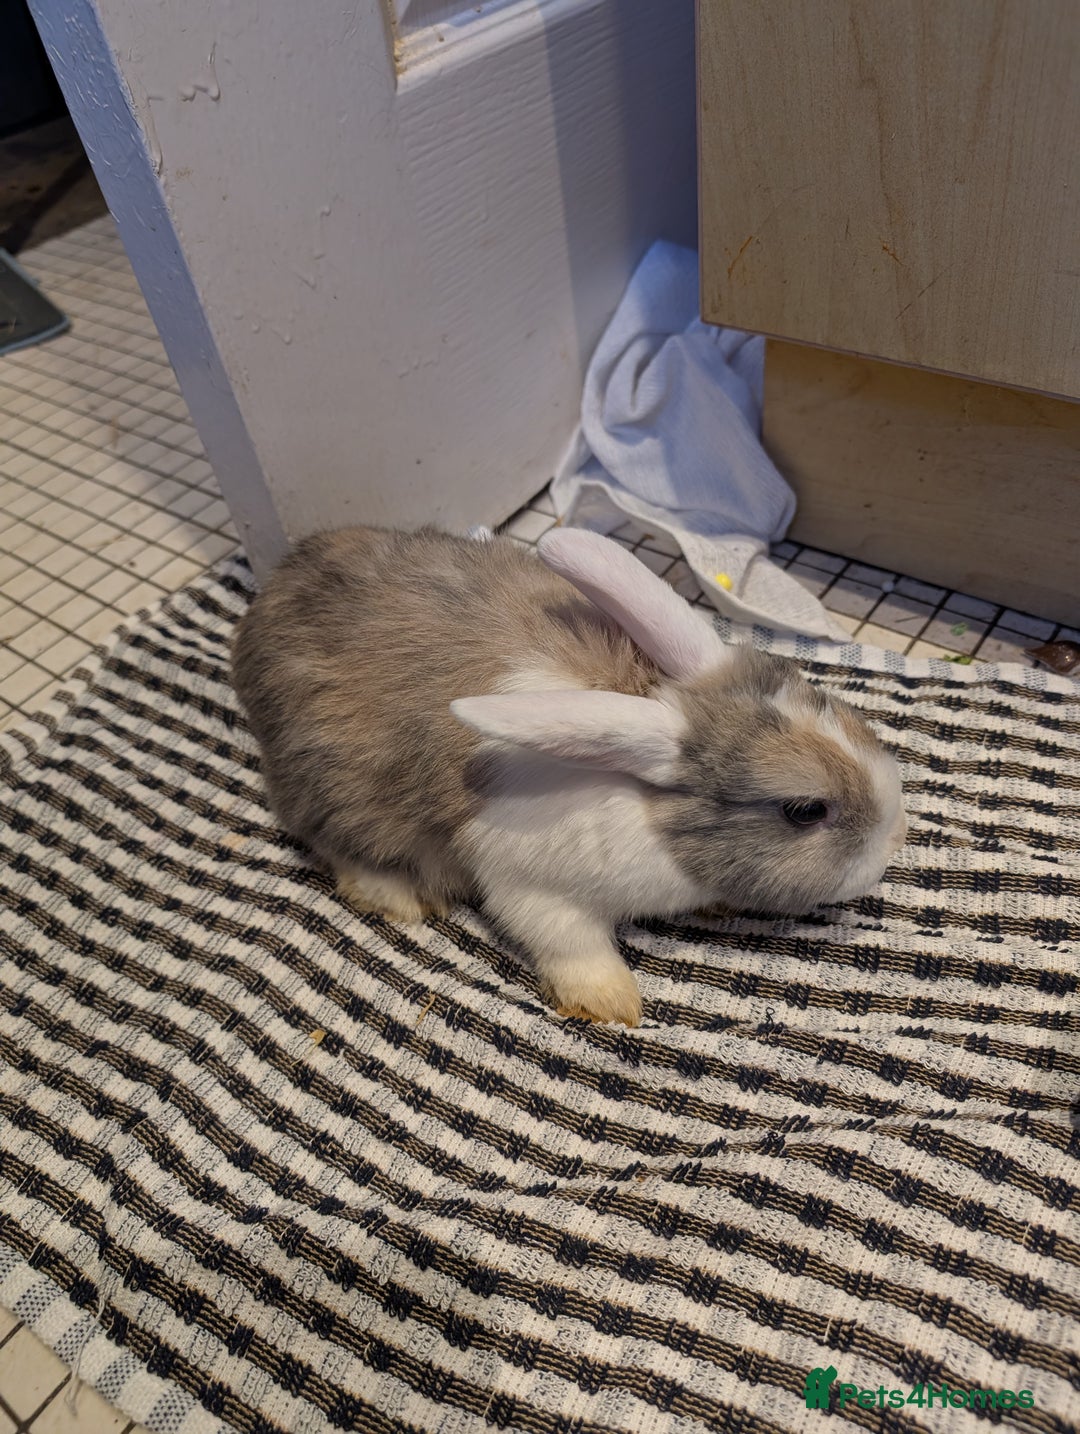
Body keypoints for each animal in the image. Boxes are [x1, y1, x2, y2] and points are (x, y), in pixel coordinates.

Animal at [231, 524, 907, 1027]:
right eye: (804, 810)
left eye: (840, 713)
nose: (893, 841)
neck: (646, 812)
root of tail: (262, 606)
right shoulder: (528, 885)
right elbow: (570, 943)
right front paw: (612, 1005)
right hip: (332, 786)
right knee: (333, 841)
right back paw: (399, 898)